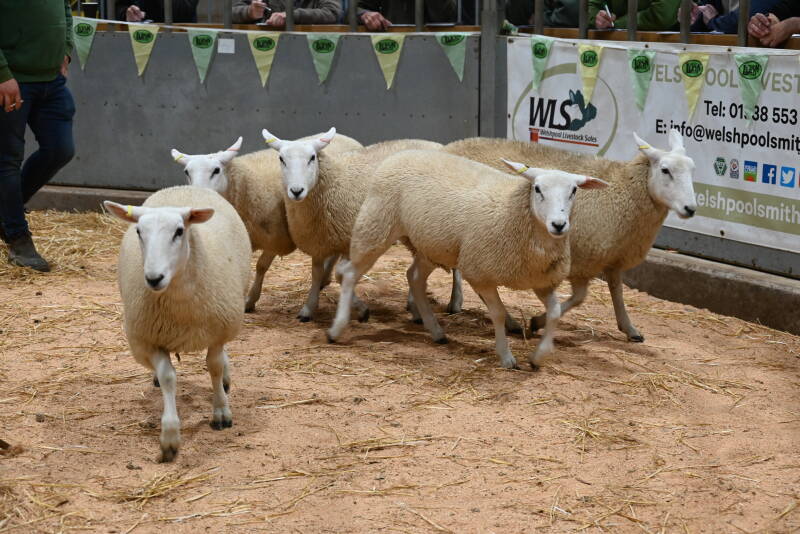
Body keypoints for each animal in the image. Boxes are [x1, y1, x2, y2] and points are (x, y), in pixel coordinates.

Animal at [104, 185, 251, 462]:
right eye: (139, 231)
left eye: (179, 231)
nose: (153, 278)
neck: (181, 308)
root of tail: (182, 187)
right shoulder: (149, 340)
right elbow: (168, 377)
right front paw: (170, 437)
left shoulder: (217, 332)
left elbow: (214, 367)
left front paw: (221, 412)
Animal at [171, 133, 363, 313]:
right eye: (187, 172)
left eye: (216, 170)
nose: (196, 197)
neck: (246, 187)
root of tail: (346, 137)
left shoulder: (277, 239)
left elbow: (261, 266)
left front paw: (250, 300)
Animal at [261, 128, 463, 323]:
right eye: (281, 159)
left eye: (312, 157)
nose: (296, 191)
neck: (333, 180)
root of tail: (440, 146)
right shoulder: (321, 239)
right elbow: (316, 273)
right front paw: (308, 309)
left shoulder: (349, 239)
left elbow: (341, 276)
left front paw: (361, 309)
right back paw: (415, 305)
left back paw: (453, 302)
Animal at [326, 150, 608, 369]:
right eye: (537, 189)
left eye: (574, 191)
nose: (558, 225)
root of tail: (404, 152)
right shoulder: (480, 273)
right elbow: (498, 313)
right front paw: (506, 356)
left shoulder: (541, 280)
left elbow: (555, 313)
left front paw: (539, 356)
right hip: (377, 225)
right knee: (349, 273)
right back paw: (337, 329)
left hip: (432, 245)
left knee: (414, 277)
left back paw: (436, 331)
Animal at [442, 129, 697, 342]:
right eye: (665, 170)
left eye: (692, 170)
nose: (691, 209)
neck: (624, 191)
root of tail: (452, 146)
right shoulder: (582, 260)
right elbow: (579, 298)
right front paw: (537, 322)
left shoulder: (612, 257)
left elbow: (616, 291)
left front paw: (629, 328)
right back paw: (504, 320)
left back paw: (460, 303)